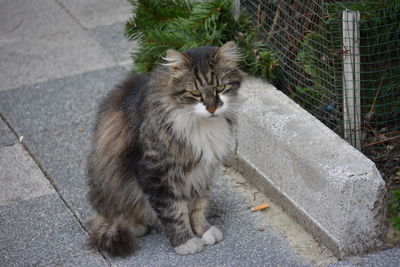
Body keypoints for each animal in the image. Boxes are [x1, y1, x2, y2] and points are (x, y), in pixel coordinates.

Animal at [86, 40, 244, 258]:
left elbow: (198, 206)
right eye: (195, 93)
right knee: (117, 216)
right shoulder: (156, 173)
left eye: (220, 87)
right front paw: (185, 241)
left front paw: (203, 230)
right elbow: (173, 211)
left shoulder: (202, 171)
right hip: (110, 189)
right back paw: (137, 227)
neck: (201, 124)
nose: (212, 108)